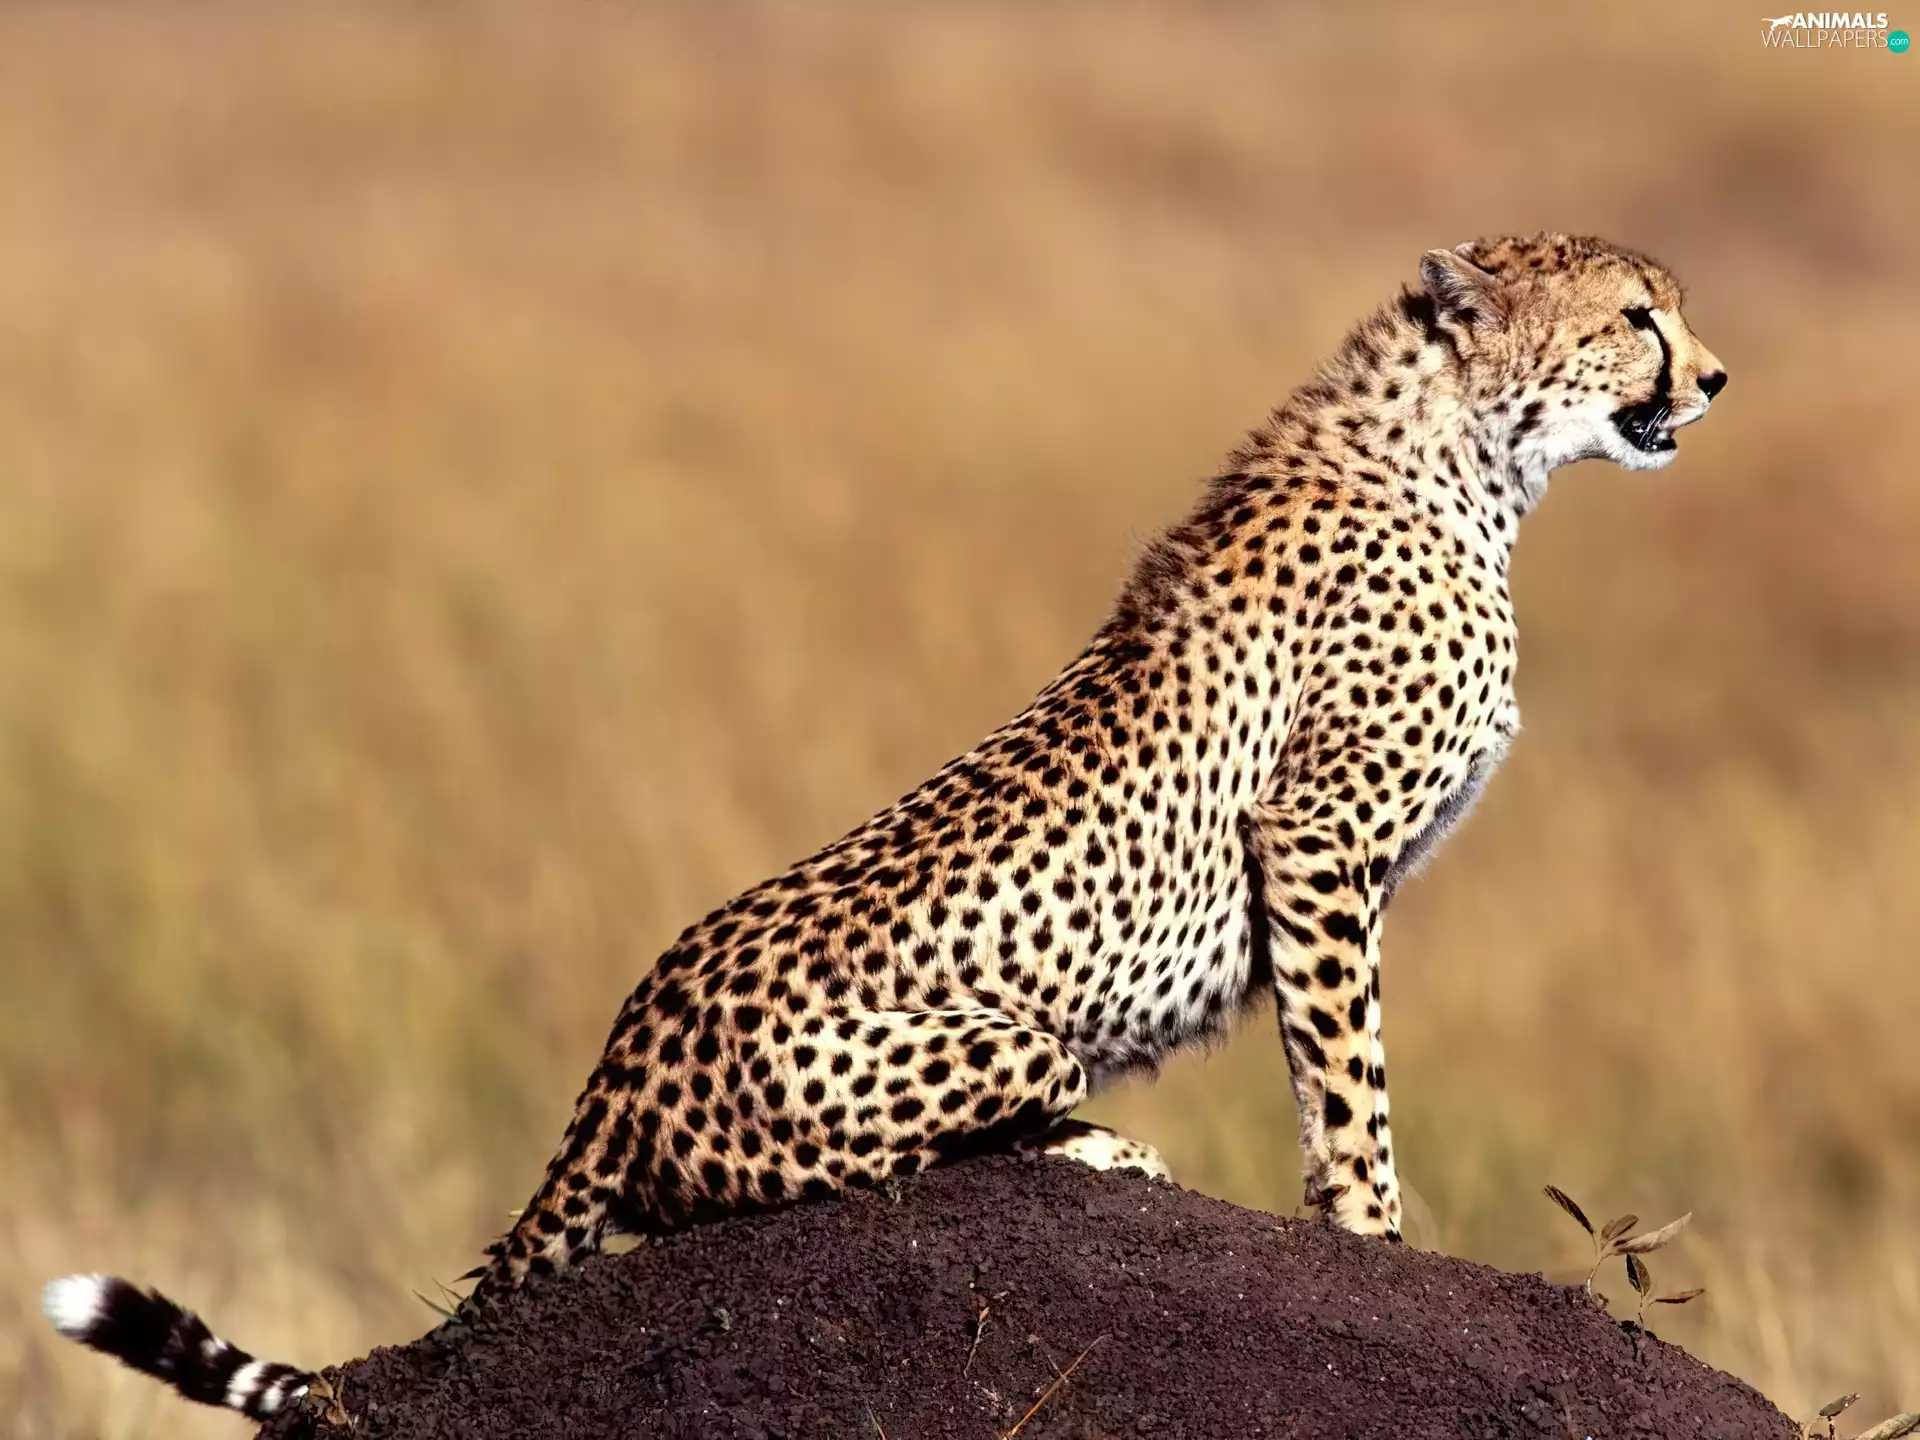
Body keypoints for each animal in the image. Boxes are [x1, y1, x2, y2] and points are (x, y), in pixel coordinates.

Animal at [44, 232, 1726, 1421]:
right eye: (1635, 316)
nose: (1713, 380)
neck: (1466, 458)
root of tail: (617, 1055)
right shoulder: (1313, 839)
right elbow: (1350, 1079)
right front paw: (1381, 1244)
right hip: (988, 1049)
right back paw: (1101, 1149)